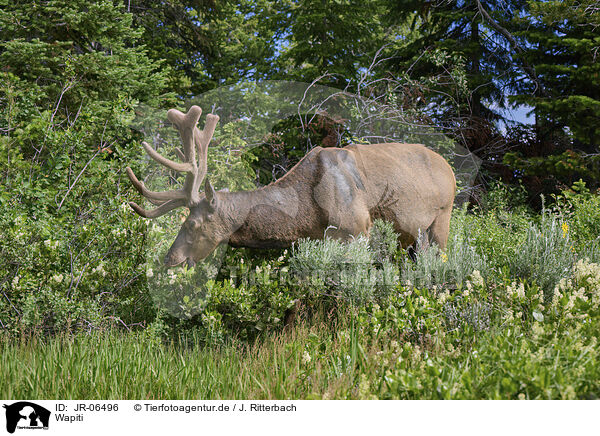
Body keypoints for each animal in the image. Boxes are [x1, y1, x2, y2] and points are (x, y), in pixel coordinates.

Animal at [125, 107, 454, 268]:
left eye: (192, 224)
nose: (169, 259)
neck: (307, 215)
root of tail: (450, 169)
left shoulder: (357, 227)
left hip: (442, 217)